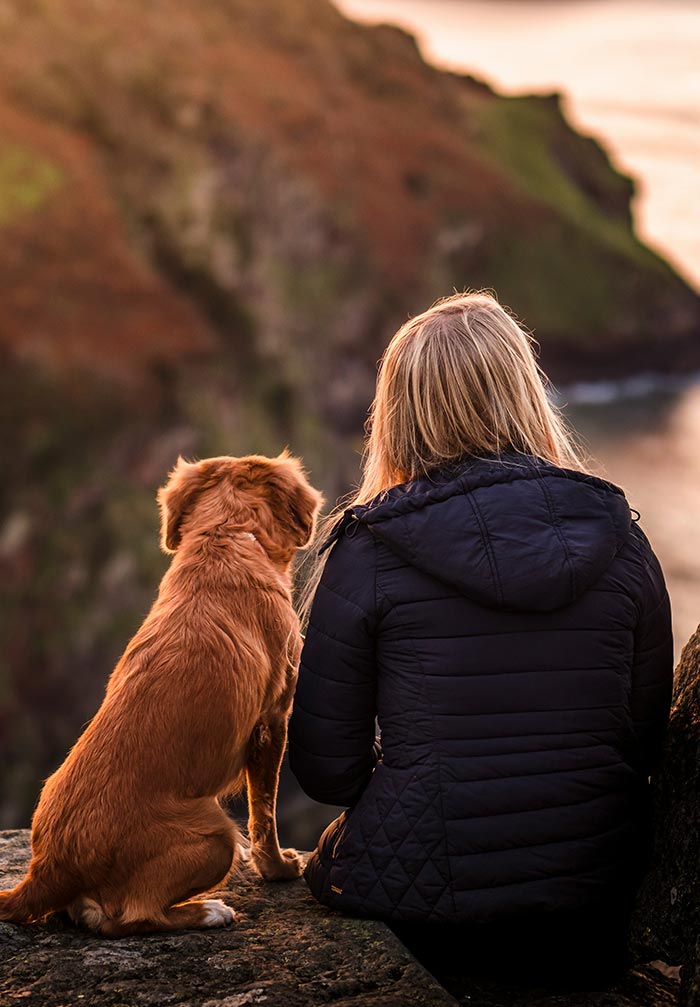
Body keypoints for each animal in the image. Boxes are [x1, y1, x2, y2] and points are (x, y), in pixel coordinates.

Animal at [0, 449, 322, 934]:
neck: (225, 536)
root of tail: (48, 868)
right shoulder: (272, 719)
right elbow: (264, 809)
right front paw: (279, 868)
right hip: (215, 832)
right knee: (133, 916)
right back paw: (207, 910)